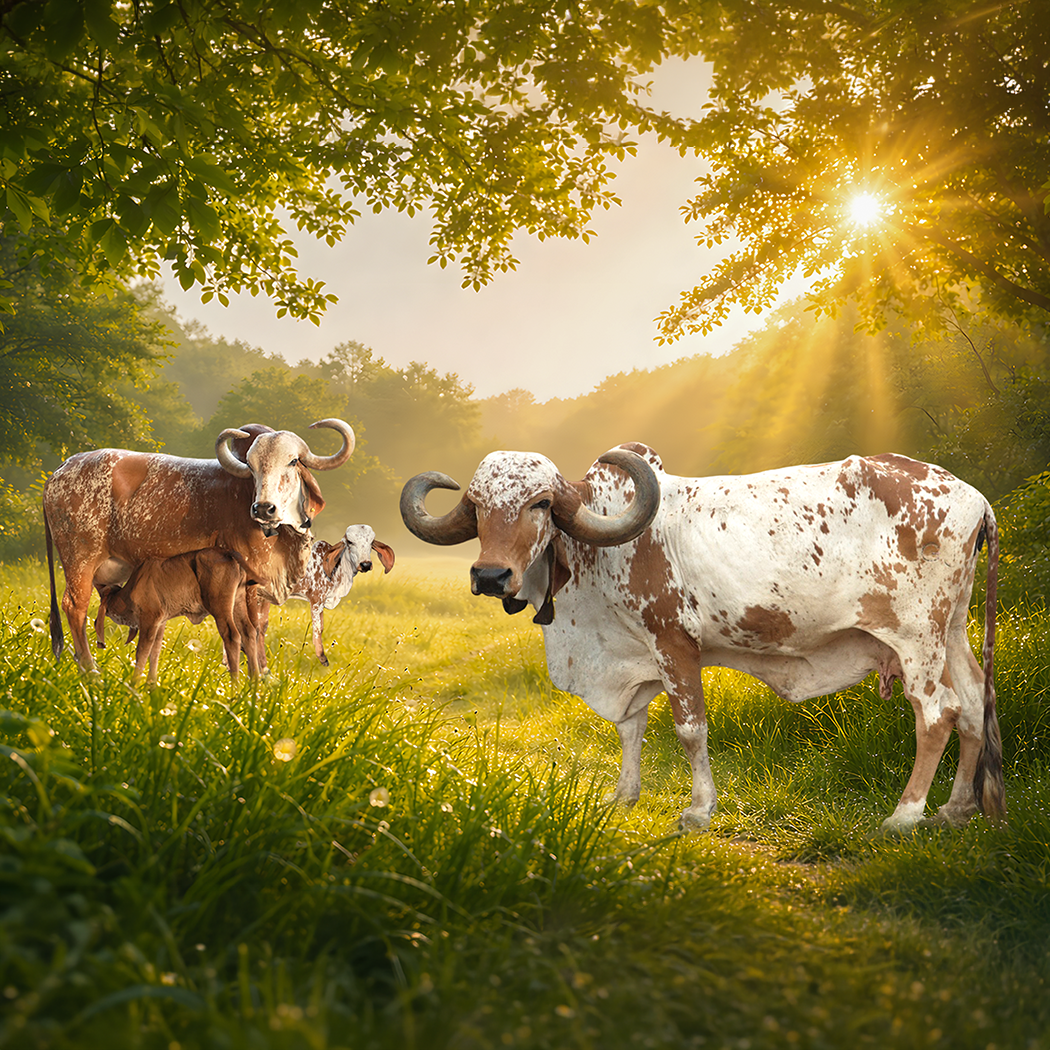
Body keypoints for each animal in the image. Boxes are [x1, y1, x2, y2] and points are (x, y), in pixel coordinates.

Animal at [43, 419, 354, 672]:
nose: (263, 508)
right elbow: (250, 629)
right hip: (80, 556)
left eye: (292, 462)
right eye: (251, 467)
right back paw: (90, 670)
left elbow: (259, 627)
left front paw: (263, 675)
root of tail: (63, 466)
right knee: (74, 606)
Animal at [283, 524, 396, 666]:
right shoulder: (316, 600)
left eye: (371, 542)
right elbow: (317, 629)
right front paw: (322, 657)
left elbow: (321, 627)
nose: (365, 564)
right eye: (350, 542)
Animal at [400, 445, 1005, 833]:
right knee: (975, 704)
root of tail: (976, 497)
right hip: (952, 630)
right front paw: (623, 796)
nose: (490, 576)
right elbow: (630, 727)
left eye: (540, 504)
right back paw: (955, 810)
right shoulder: (632, 659)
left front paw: (697, 811)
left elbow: (690, 730)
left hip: (916, 637)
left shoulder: (674, 645)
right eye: (478, 506)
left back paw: (904, 815)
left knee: (938, 713)